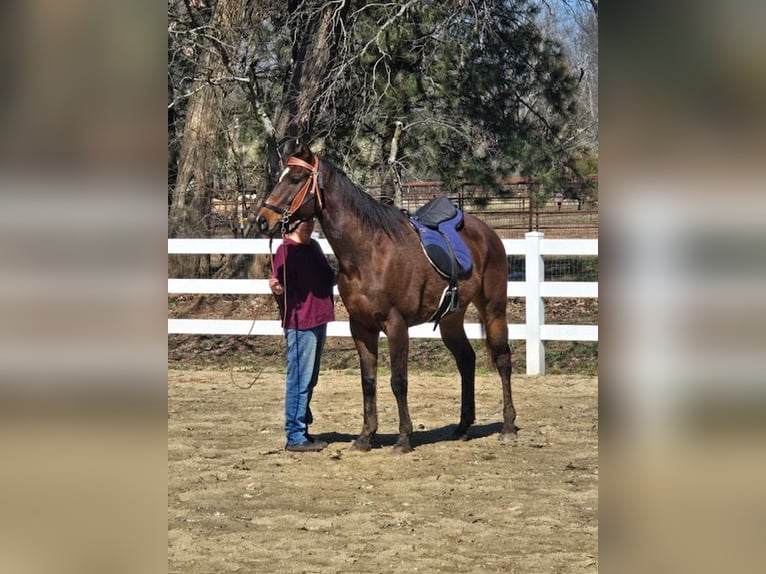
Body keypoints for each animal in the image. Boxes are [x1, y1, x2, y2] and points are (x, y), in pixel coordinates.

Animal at [254, 144, 517, 453]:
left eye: (295, 178)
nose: (262, 219)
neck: (369, 253)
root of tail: (487, 233)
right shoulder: (361, 327)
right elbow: (368, 381)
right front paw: (365, 437)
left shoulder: (396, 325)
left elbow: (398, 381)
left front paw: (403, 438)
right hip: (451, 319)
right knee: (466, 360)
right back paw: (463, 427)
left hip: (493, 310)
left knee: (503, 360)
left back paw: (508, 426)